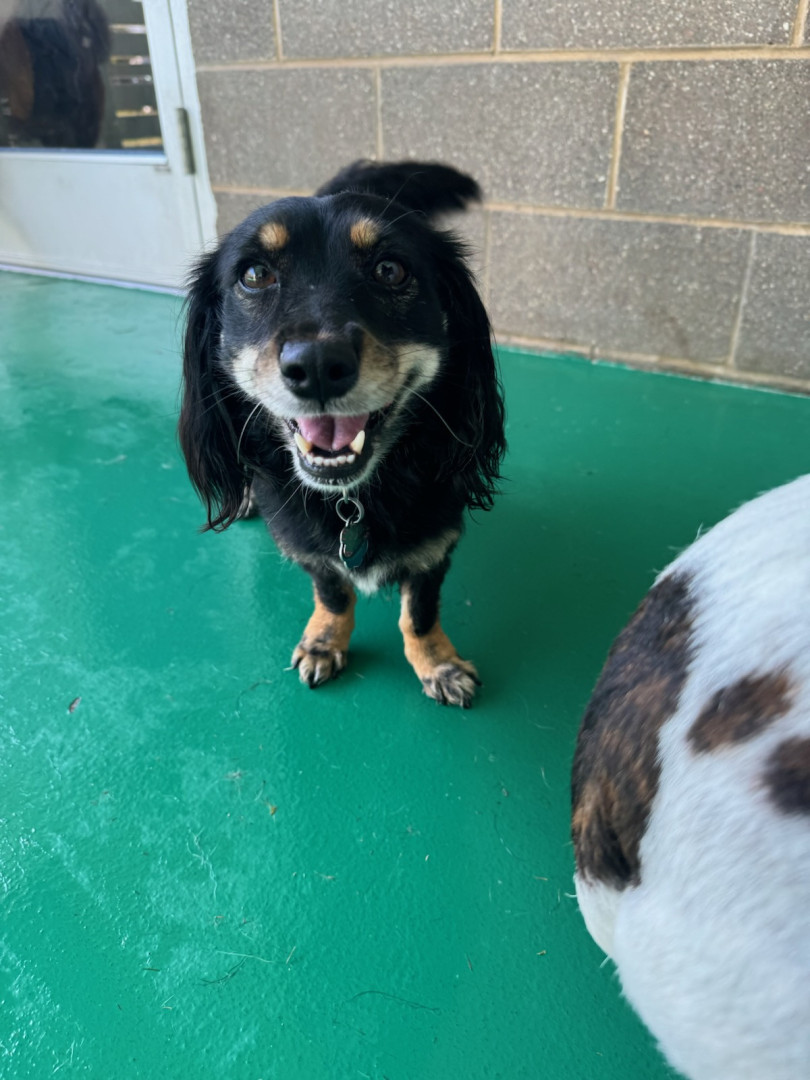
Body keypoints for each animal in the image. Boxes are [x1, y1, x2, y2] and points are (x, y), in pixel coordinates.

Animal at [179, 160, 505, 707]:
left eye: (390, 270)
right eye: (254, 275)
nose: (315, 366)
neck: (352, 498)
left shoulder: (437, 543)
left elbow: (420, 614)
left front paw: (437, 664)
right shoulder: (305, 546)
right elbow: (333, 593)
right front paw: (325, 642)